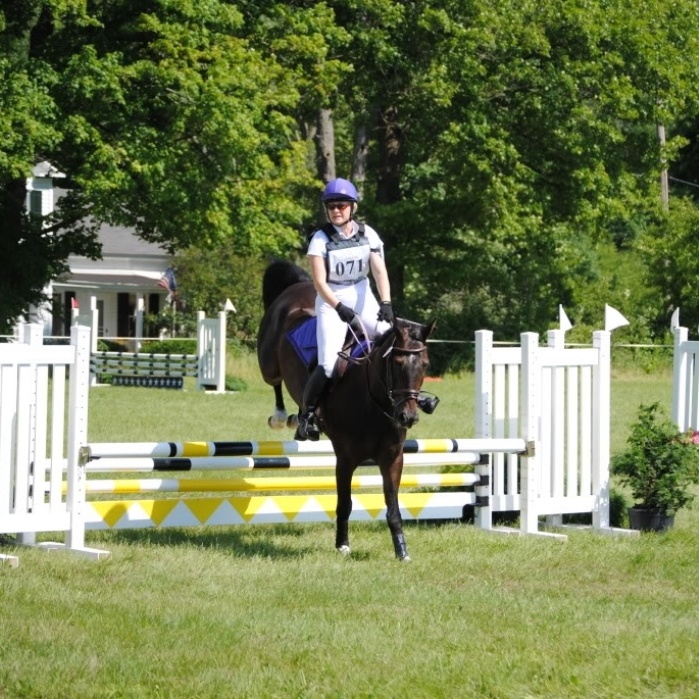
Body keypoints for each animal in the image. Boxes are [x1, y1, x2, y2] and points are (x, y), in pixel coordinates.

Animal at [258, 260, 434, 560]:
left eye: (424, 364)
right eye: (397, 363)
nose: (407, 416)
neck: (372, 401)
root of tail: (298, 286)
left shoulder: (393, 458)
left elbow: (393, 508)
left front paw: (402, 551)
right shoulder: (345, 458)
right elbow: (345, 504)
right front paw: (342, 544)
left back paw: (300, 419)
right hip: (268, 363)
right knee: (275, 381)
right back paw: (285, 417)